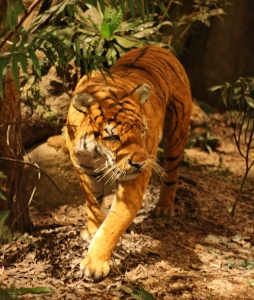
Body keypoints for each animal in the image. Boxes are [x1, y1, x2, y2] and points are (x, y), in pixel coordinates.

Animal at [65, 45, 192, 280]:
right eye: (114, 137)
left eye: (142, 130)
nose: (140, 163)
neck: (98, 155)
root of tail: (157, 46)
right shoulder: (82, 166)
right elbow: (93, 203)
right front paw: (92, 230)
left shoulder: (132, 184)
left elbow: (114, 223)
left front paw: (95, 264)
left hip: (177, 131)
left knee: (172, 172)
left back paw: (163, 208)